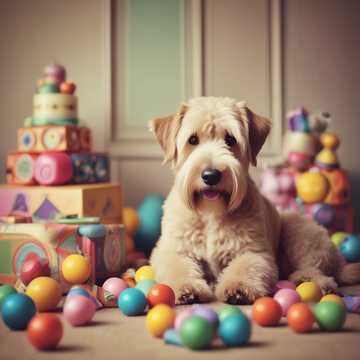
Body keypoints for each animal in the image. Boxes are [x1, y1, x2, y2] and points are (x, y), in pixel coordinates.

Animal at [148, 95, 358, 304]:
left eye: (230, 139)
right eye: (193, 139)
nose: (211, 175)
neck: (210, 214)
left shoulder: (253, 251)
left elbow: (245, 267)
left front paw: (238, 288)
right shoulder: (173, 250)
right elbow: (178, 267)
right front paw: (186, 287)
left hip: (299, 230)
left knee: (318, 269)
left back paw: (311, 281)